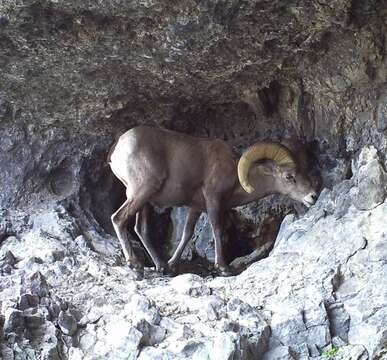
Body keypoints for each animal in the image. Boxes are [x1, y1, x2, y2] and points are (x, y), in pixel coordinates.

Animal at [107, 125, 316, 274]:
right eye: (289, 176)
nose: (313, 196)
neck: (234, 173)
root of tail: (118, 147)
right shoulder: (214, 200)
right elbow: (218, 230)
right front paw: (223, 267)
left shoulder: (196, 208)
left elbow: (187, 233)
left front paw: (172, 265)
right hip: (141, 191)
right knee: (118, 218)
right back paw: (135, 264)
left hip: (144, 200)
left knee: (140, 229)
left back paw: (161, 266)